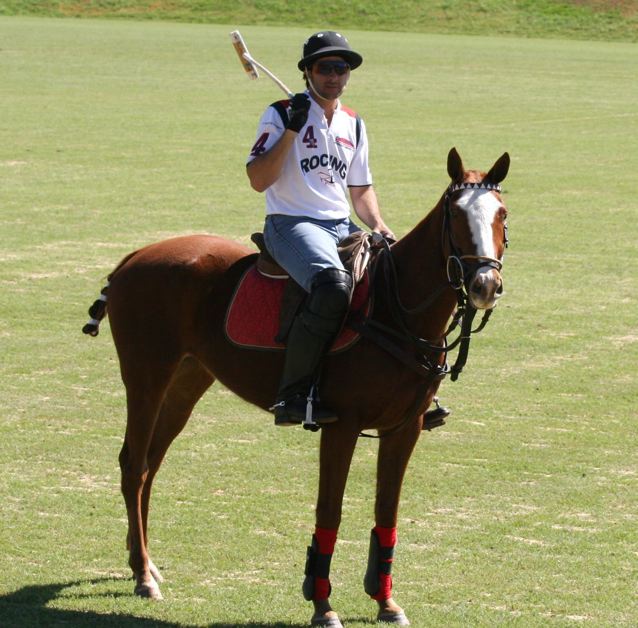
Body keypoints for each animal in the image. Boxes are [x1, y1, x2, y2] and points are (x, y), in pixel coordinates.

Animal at [82, 147, 510, 627]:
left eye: (502, 214)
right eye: (455, 215)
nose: (485, 285)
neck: (395, 309)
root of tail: (134, 256)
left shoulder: (405, 427)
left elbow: (387, 510)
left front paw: (385, 601)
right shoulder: (341, 424)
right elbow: (330, 511)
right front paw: (322, 604)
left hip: (187, 380)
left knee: (151, 463)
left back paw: (145, 563)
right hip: (145, 375)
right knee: (133, 465)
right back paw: (142, 576)